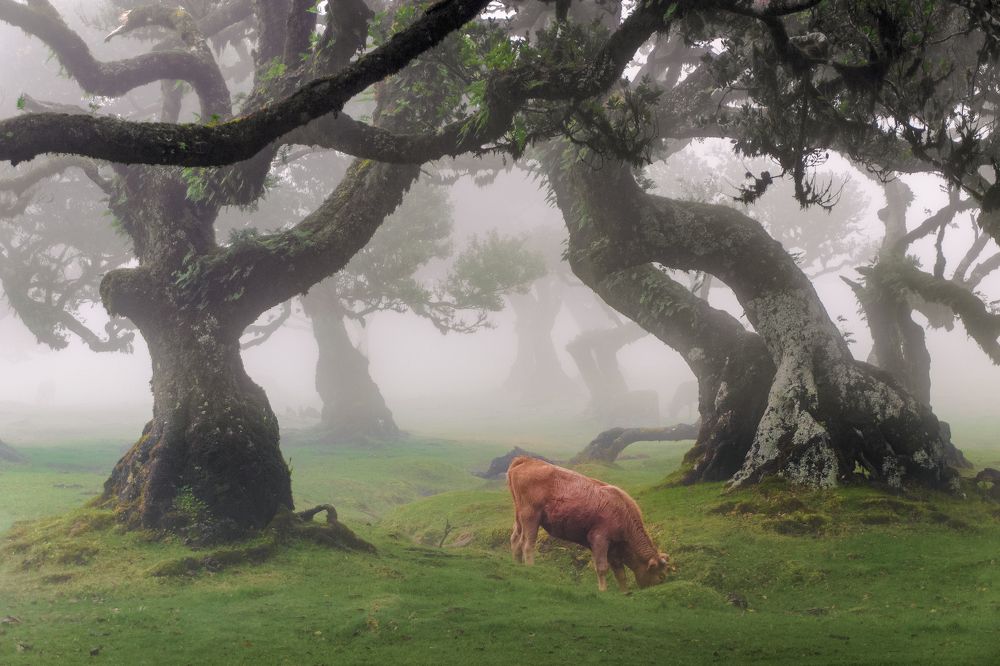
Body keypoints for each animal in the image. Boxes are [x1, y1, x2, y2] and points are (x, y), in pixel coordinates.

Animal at [507, 456, 670, 591]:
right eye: (661, 576)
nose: (657, 585)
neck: (623, 511)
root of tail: (527, 460)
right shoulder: (599, 539)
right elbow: (602, 567)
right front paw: (603, 591)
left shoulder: (614, 549)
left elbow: (620, 572)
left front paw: (624, 592)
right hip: (531, 517)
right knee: (527, 544)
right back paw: (530, 568)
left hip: (519, 516)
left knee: (515, 539)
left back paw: (517, 565)